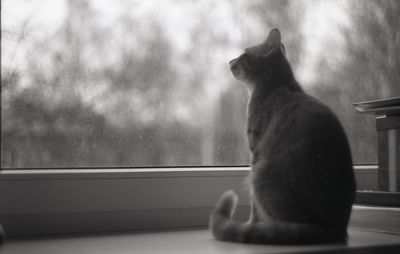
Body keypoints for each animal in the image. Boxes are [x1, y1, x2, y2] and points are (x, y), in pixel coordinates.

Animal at [209, 28, 356, 245]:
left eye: (244, 55)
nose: (230, 61)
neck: (277, 86)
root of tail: (334, 228)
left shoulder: (255, 151)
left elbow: (254, 206)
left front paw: (251, 224)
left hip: (260, 175)